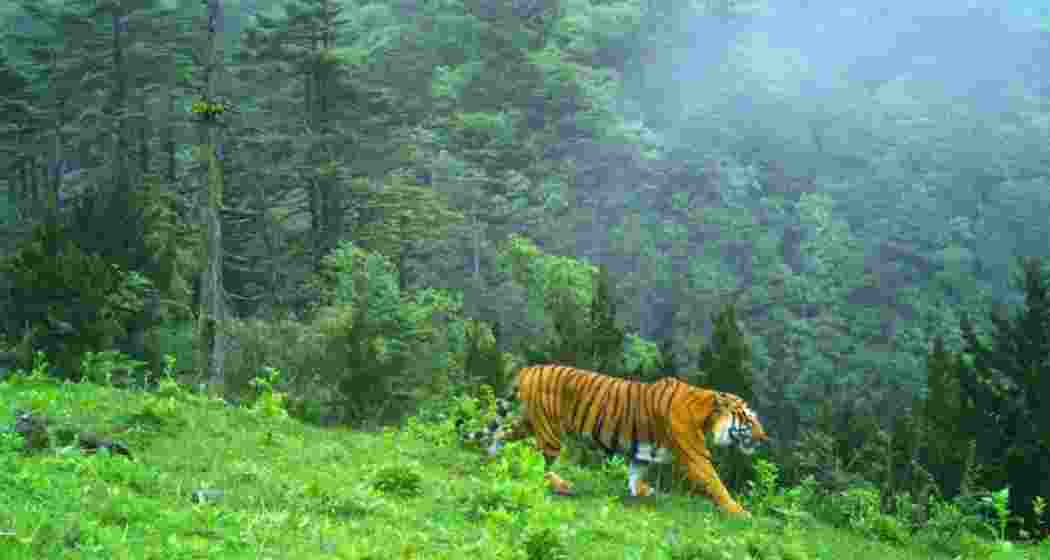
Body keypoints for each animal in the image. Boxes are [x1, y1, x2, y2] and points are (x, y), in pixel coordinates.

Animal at [457, 364, 769, 516]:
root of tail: (529, 369)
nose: (764, 437)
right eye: (748, 419)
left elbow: (635, 474)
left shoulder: (642, 453)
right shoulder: (695, 456)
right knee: (541, 462)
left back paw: (490, 455)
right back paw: (560, 485)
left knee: (501, 433)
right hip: (549, 431)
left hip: (530, 421)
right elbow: (717, 485)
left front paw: (642, 492)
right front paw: (740, 513)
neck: (706, 414)